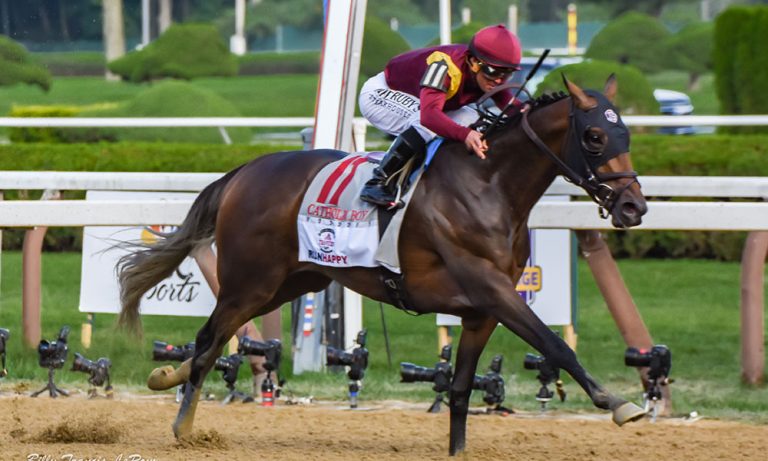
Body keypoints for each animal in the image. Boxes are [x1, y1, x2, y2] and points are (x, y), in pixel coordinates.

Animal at [118, 75, 648, 452]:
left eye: (625, 132)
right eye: (595, 136)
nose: (633, 206)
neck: (488, 185)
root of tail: (246, 170)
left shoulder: (482, 311)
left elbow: (460, 389)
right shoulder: (492, 290)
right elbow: (556, 345)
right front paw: (619, 404)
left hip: (293, 281)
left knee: (215, 339)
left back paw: (165, 377)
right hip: (250, 282)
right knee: (210, 337)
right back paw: (183, 426)